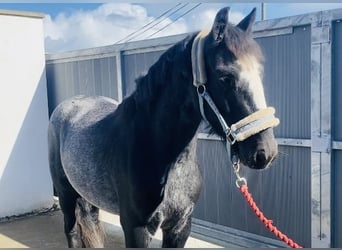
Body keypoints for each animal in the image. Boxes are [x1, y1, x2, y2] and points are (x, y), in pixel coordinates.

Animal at [47, 7, 278, 248]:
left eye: (260, 73)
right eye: (225, 76)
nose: (266, 152)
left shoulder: (181, 225)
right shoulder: (136, 229)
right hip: (66, 195)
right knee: (72, 231)